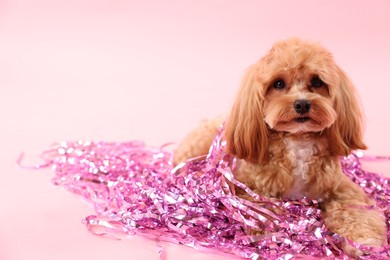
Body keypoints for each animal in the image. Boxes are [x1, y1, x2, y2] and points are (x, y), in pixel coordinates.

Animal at [174, 38, 386, 256]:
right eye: (278, 84)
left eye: (317, 82)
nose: (302, 104)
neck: (298, 141)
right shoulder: (248, 186)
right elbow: (258, 207)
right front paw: (267, 230)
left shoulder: (341, 188)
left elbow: (356, 211)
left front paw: (362, 239)